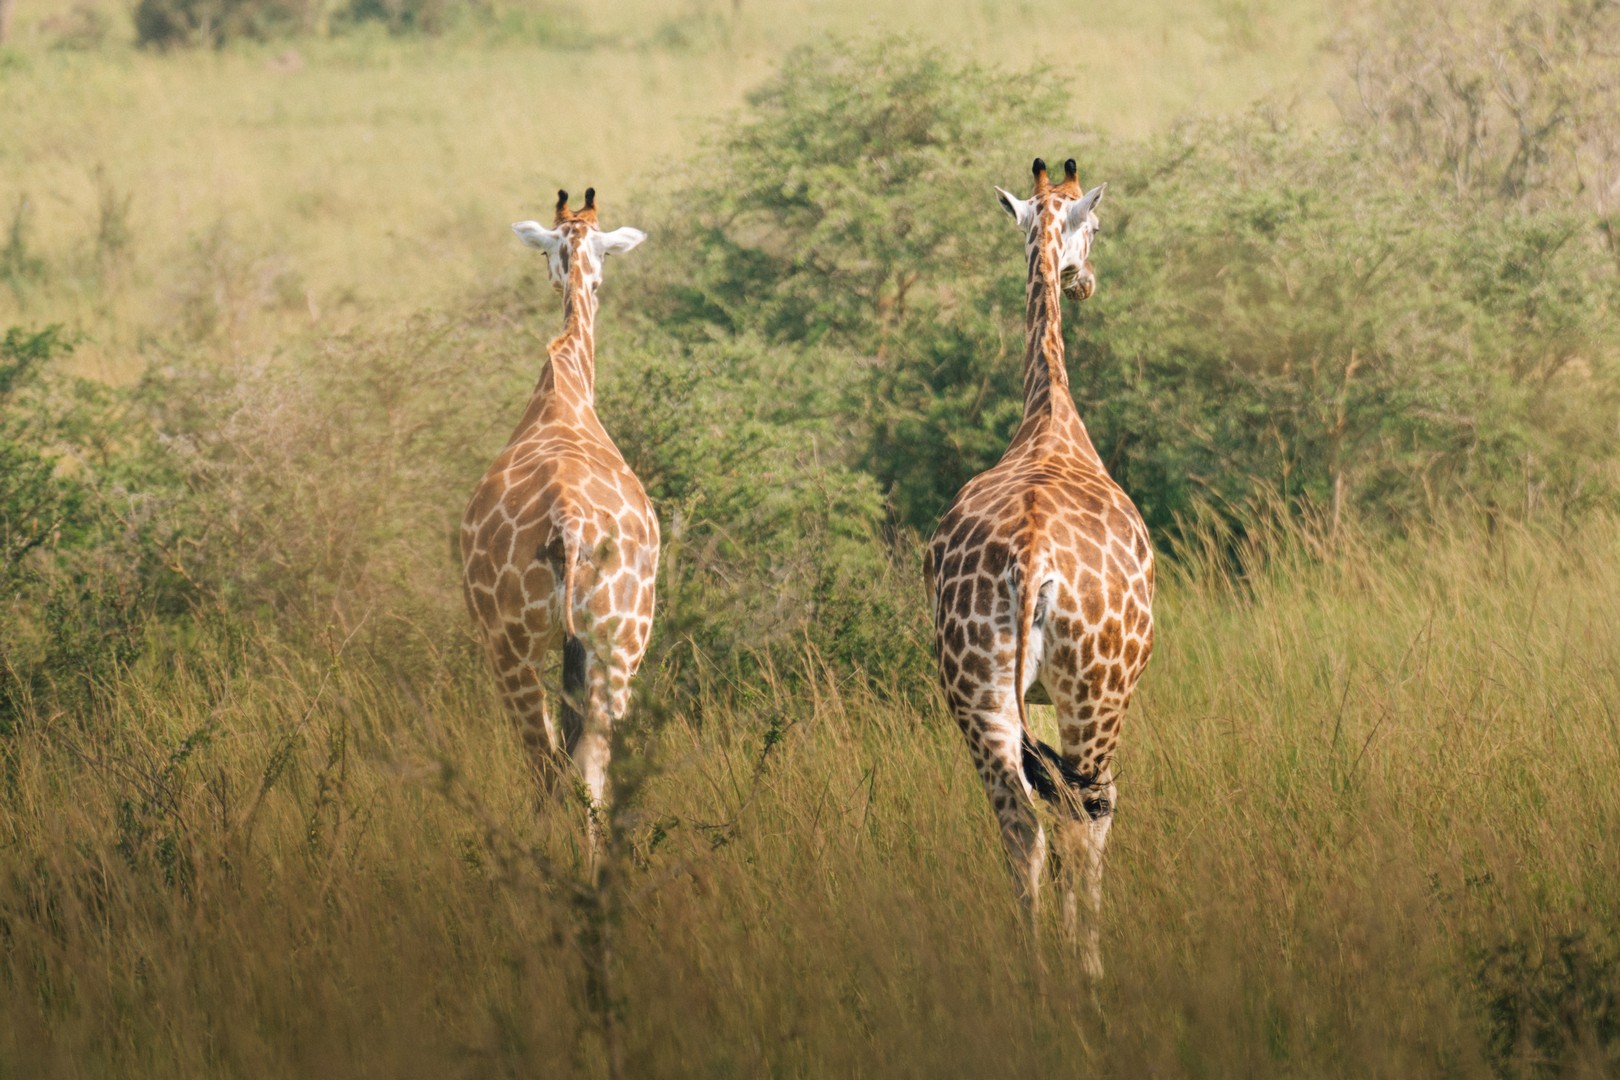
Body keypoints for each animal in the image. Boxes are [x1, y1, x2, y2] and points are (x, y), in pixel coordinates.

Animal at [461, 187, 659, 847]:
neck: (565, 389)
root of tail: (570, 524)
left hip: (517, 646)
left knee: (555, 766)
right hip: (612, 642)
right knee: (581, 765)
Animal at [924, 158, 1154, 976]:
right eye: (1100, 224)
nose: (1085, 284)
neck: (1048, 416)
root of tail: (1032, 560)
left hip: (975, 692)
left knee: (1021, 828)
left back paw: (1035, 976)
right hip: (1096, 691)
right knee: (1086, 817)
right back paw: (1086, 973)